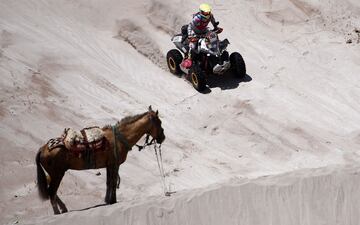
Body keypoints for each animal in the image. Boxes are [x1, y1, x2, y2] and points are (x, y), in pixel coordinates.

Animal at [35, 105, 165, 214]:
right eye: (159, 122)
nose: (163, 138)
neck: (120, 138)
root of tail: (42, 149)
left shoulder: (109, 165)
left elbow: (108, 183)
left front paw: (108, 201)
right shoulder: (114, 164)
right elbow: (113, 182)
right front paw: (113, 201)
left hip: (54, 173)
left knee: (50, 189)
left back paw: (64, 208)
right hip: (58, 173)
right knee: (52, 191)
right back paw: (57, 212)